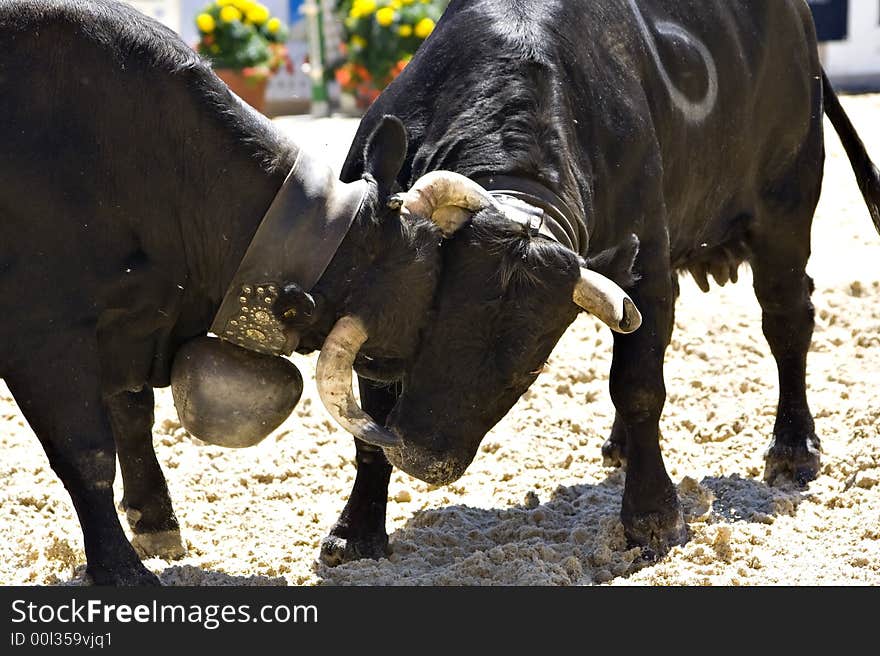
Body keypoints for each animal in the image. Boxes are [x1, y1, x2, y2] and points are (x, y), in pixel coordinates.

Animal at [0, 0, 440, 584]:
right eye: (415, 289)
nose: (411, 361)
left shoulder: (127, 324)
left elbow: (132, 417)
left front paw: (155, 523)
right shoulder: (41, 333)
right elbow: (86, 453)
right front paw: (120, 570)